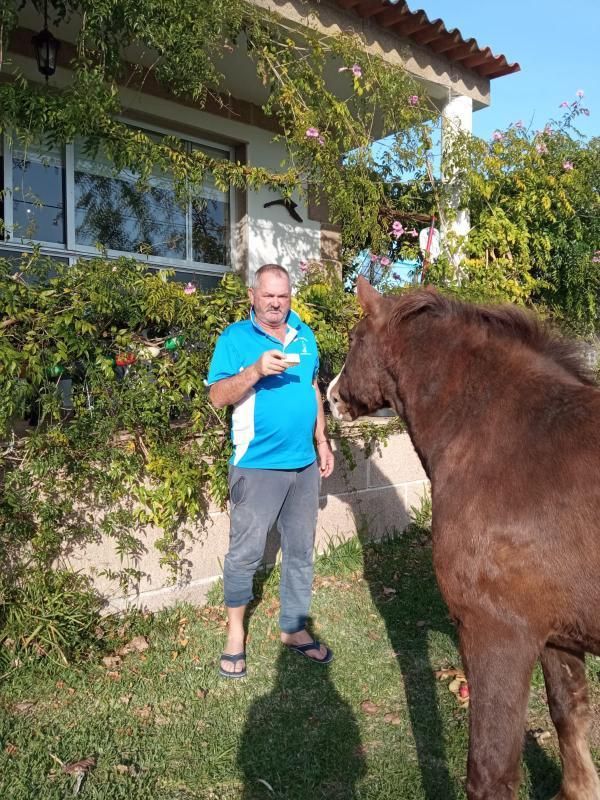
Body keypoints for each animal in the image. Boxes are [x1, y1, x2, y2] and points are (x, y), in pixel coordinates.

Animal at [328, 276, 600, 800]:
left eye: (354, 339)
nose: (330, 395)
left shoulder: (497, 635)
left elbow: (491, 772)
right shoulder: (556, 635)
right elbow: (569, 713)